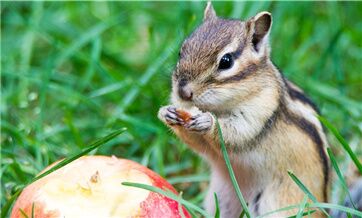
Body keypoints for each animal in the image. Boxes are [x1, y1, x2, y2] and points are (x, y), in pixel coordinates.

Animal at [158, 2, 330, 218]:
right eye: (181, 51)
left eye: (226, 61)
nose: (182, 92)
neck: (220, 107)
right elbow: (196, 142)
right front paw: (167, 113)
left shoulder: (261, 110)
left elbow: (238, 133)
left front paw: (208, 122)